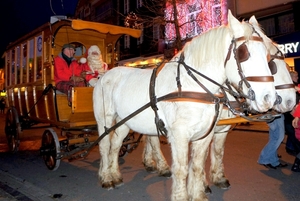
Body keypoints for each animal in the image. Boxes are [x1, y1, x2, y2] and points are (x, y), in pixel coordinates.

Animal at [93, 11, 276, 201]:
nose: (269, 97)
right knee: (104, 145)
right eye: (243, 53)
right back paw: (106, 178)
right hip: (104, 120)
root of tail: (104, 75)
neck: (193, 86)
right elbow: (181, 170)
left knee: (115, 145)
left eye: (268, 55)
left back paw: (115, 174)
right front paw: (181, 195)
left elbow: (197, 165)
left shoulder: (205, 134)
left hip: (124, 121)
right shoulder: (179, 135)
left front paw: (199, 195)